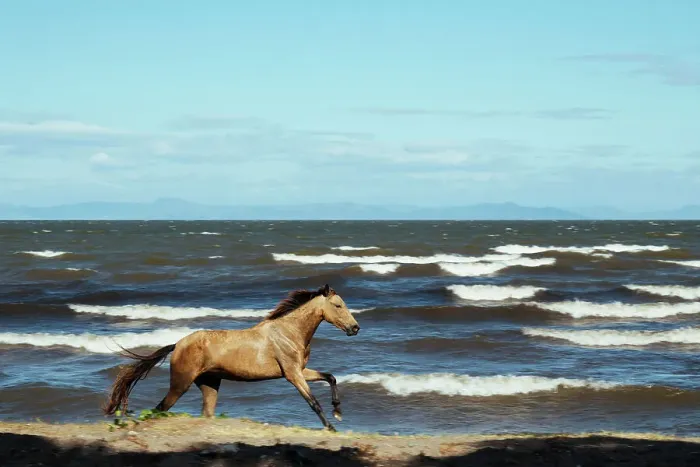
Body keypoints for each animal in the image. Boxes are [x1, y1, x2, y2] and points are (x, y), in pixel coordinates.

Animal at [103, 284, 360, 431]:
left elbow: (330, 377)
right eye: (338, 305)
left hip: (209, 384)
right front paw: (331, 427)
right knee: (160, 408)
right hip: (180, 383)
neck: (288, 332)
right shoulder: (292, 374)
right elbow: (313, 402)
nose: (355, 328)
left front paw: (338, 412)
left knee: (206, 414)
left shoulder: (301, 370)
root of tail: (177, 344)